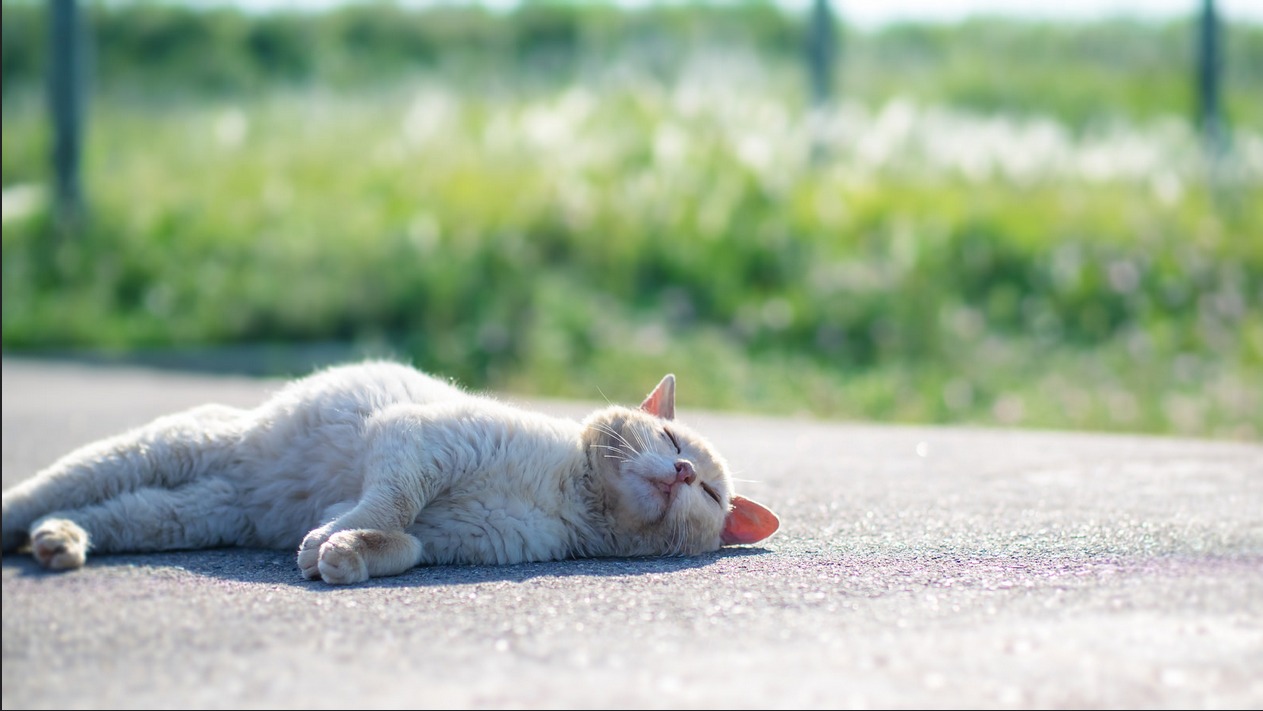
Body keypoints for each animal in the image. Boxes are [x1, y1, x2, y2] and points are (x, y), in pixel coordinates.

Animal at [0, 361, 772, 583]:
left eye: (708, 492)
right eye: (670, 436)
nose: (681, 471)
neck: (570, 500)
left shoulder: (449, 538)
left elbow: (397, 541)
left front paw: (341, 555)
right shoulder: (417, 444)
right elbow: (389, 505)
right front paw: (330, 541)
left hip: (184, 516)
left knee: (108, 516)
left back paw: (58, 541)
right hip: (167, 449)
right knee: (42, 491)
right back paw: (28, 528)